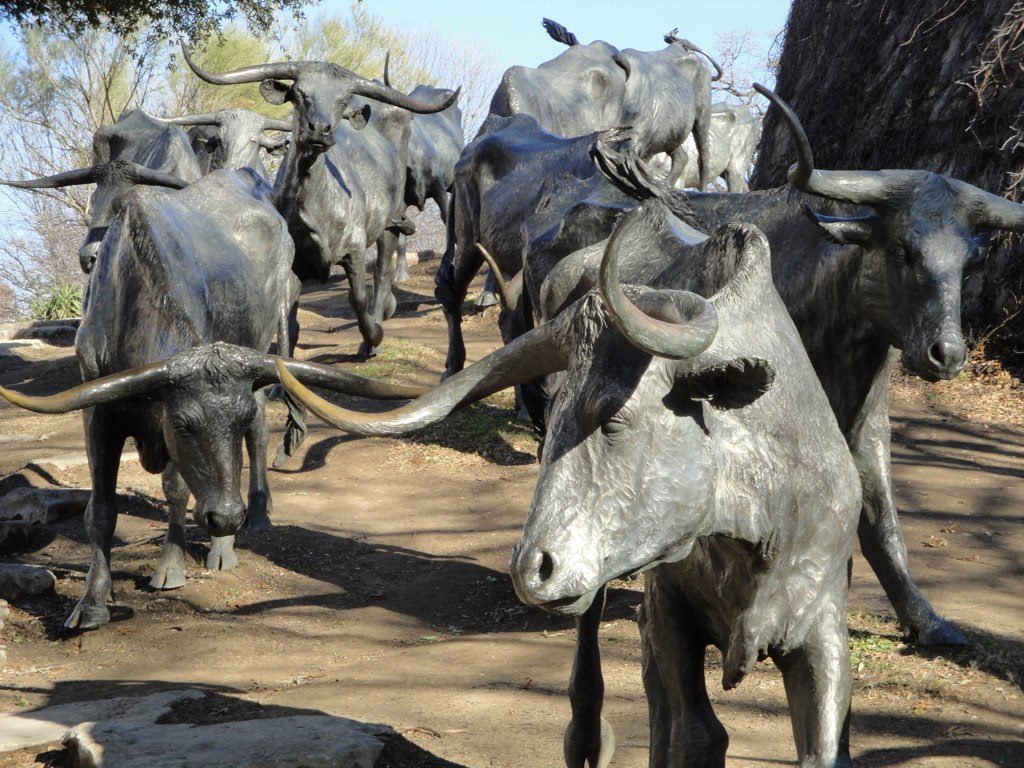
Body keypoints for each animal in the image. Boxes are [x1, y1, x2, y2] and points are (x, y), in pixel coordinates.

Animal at [0, 167, 425, 630]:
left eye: (232, 424)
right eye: (184, 425)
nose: (226, 516)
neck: (128, 302)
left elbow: (176, 489)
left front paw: (172, 566)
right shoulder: (99, 414)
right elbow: (100, 509)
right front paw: (94, 600)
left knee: (259, 432)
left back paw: (246, 525)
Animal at [180, 47, 458, 357]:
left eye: (342, 100)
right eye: (300, 93)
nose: (319, 130)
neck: (315, 208)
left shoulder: (355, 248)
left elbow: (358, 299)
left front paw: (374, 336)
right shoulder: (293, 261)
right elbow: (287, 320)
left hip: (390, 223)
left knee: (383, 273)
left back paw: (373, 334)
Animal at [272, 199, 863, 768]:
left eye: (614, 420)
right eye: (552, 418)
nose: (530, 568)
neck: (756, 517)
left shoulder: (822, 633)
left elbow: (823, 745)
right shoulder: (670, 618)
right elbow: (697, 734)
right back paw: (584, 739)